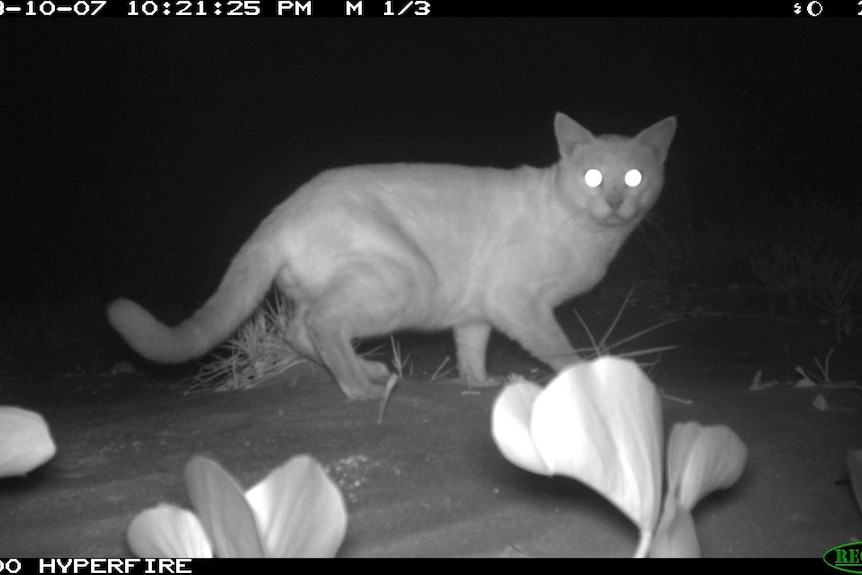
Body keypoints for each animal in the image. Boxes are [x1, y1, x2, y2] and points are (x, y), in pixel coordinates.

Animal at [106, 112, 676, 400]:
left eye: (634, 177)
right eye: (594, 177)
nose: (616, 201)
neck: (594, 238)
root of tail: (284, 209)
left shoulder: (477, 311)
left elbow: (472, 348)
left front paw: (479, 384)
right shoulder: (516, 302)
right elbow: (558, 348)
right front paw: (587, 378)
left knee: (300, 329)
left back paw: (368, 373)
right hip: (402, 279)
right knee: (323, 323)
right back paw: (361, 387)